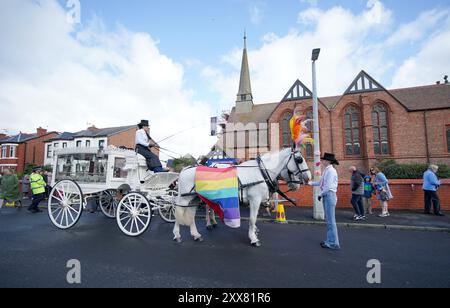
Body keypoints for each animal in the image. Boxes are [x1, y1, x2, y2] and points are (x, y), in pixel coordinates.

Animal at [171, 148, 312, 247]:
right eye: (299, 159)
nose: (308, 178)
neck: (260, 172)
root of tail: (184, 170)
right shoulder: (255, 200)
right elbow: (252, 219)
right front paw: (254, 238)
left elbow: (254, 219)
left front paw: (254, 232)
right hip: (185, 198)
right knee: (178, 213)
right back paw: (177, 235)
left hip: (194, 198)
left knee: (191, 215)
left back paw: (196, 234)